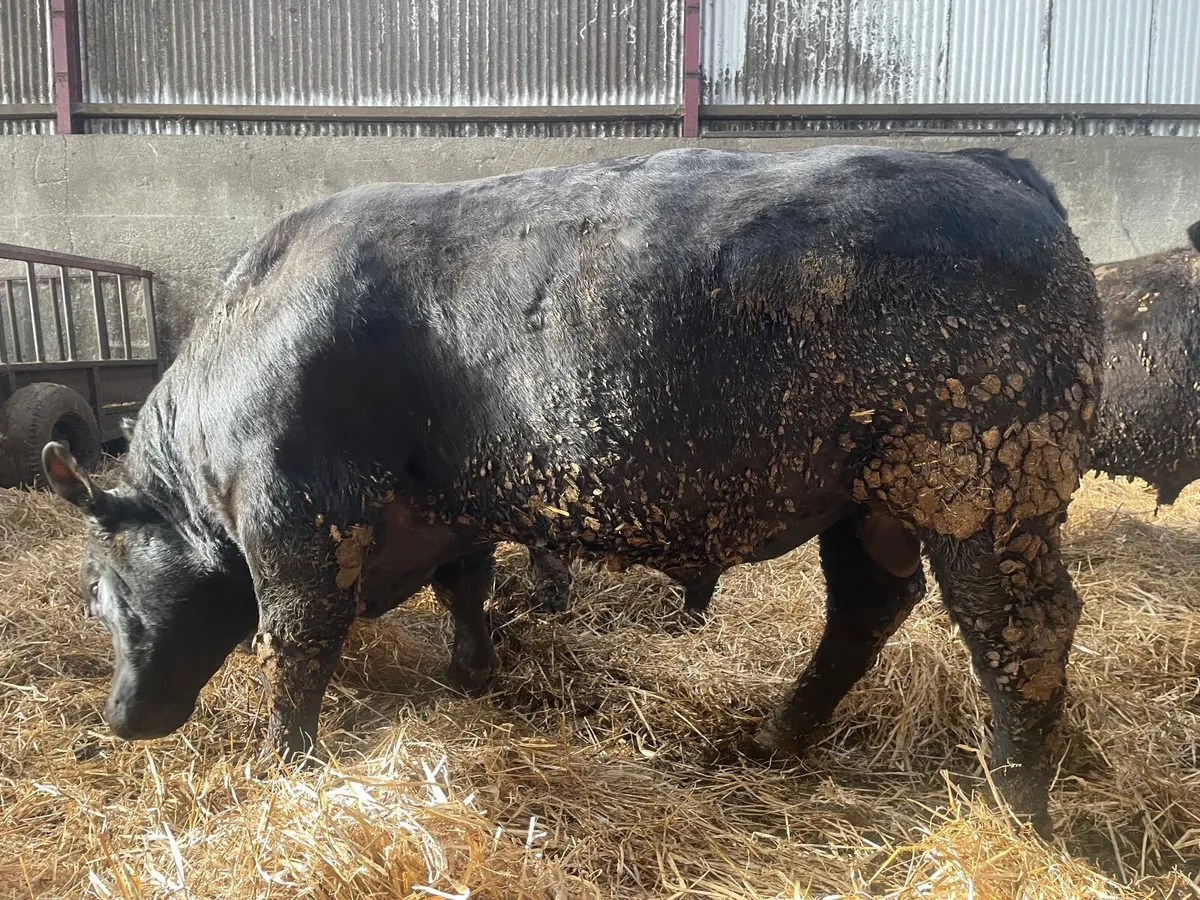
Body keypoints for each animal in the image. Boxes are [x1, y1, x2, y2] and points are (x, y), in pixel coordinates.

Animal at [42, 145, 1102, 839]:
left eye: (101, 593)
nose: (121, 718)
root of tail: (995, 166)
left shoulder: (300, 519)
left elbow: (296, 642)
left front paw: (287, 761)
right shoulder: (451, 511)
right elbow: (466, 586)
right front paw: (471, 672)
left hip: (980, 483)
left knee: (1022, 632)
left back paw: (1022, 812)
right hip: (867, 500)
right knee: (869, 607)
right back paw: (777, 735)